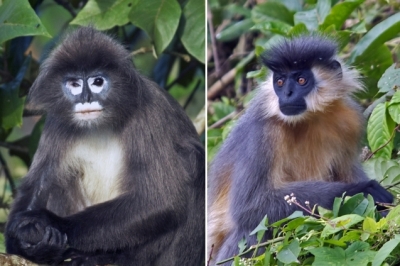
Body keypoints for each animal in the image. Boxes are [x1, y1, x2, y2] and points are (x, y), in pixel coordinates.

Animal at [5, 27, 206, 266]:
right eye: (74, 84)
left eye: (98, 81)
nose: (85, 99)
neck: (99, 124)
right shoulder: (57, 122)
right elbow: (38, 182)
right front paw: (28, 243)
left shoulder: (149, 112)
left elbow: (163, 199)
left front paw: (48, 222)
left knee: (193, 161)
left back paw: (108, 257)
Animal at [208, 33, 392, 264]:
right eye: (279, 82)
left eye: (301, 80)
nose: (286, 93)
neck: (308, 119)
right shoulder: (261, 133)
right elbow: (249, 207)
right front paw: (364, 190)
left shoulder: (350, 120)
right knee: (251, 228)